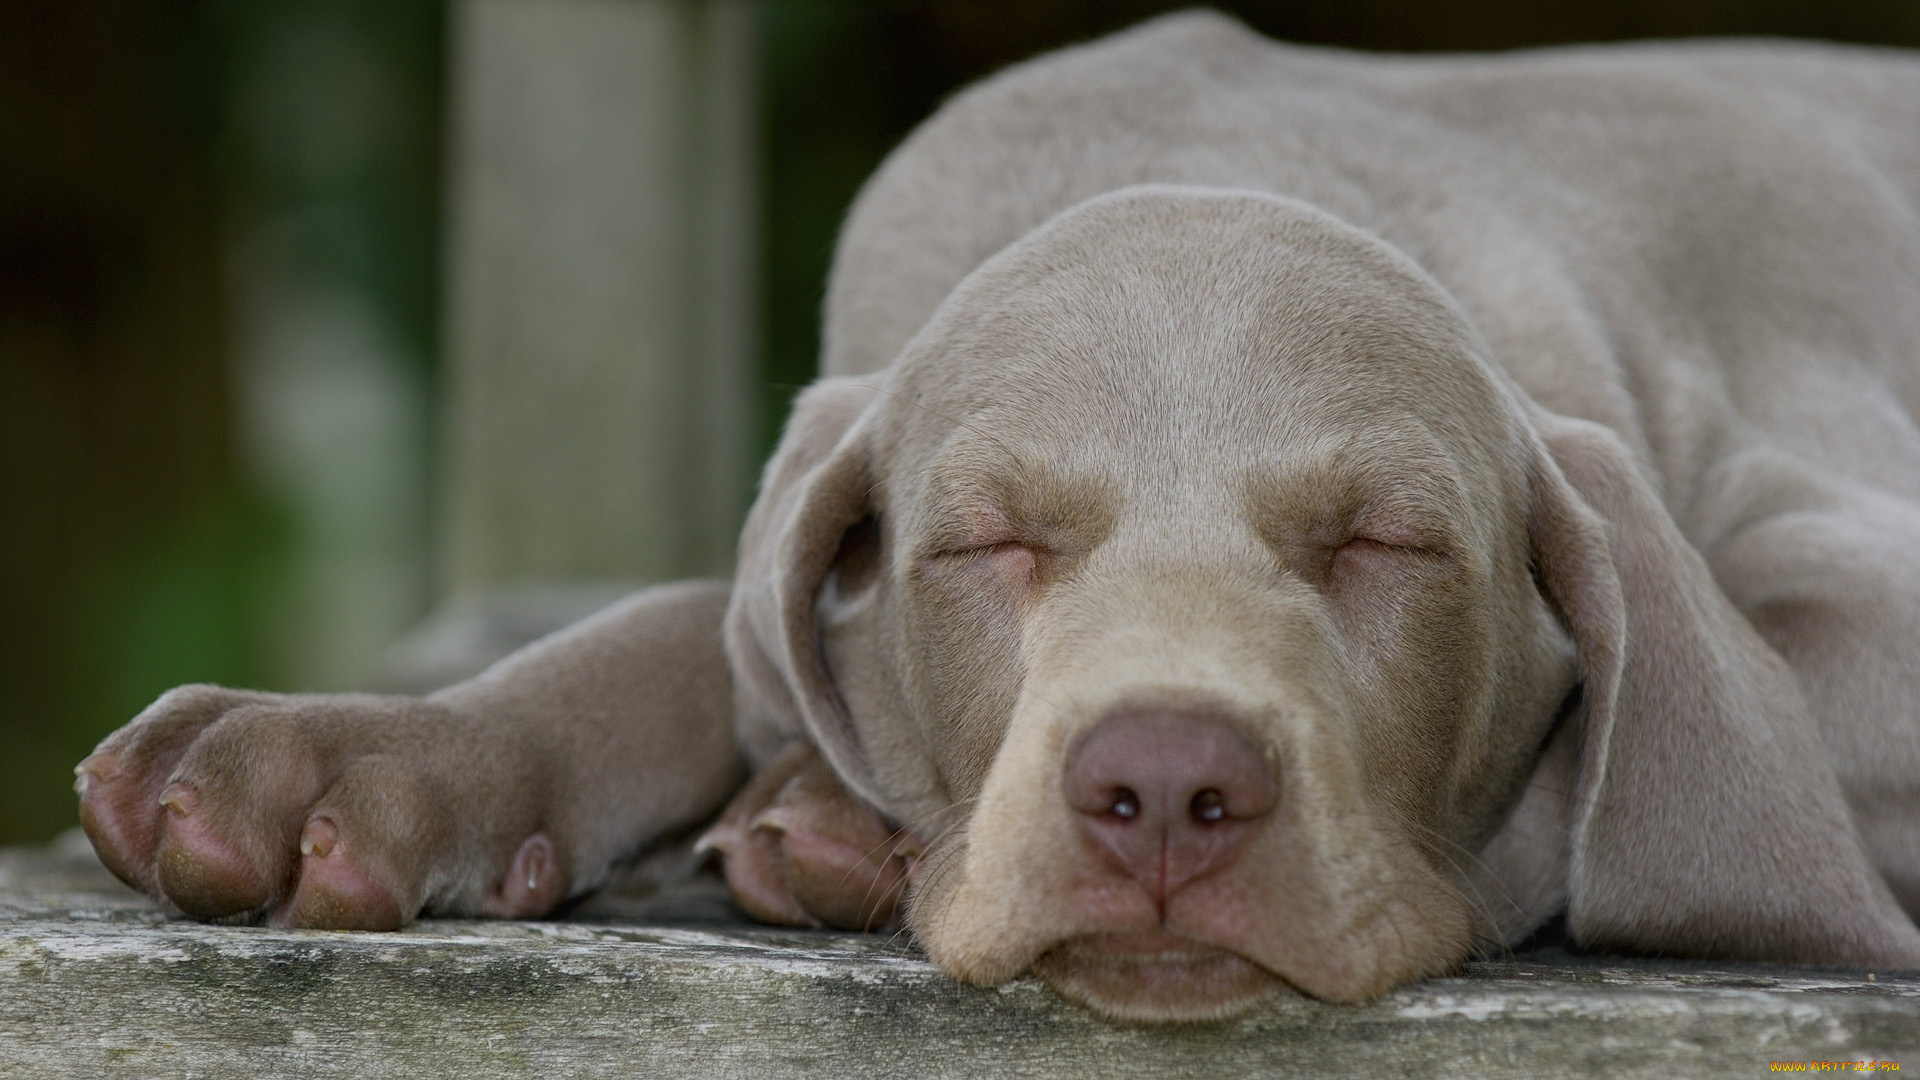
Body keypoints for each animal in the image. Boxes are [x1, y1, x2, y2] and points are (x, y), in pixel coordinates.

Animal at [67, 12, 1920, 1014]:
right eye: (987, 543)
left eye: (1383, 544)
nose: (1167, 790)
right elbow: (684, 624)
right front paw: (356, 755)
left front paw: (824, 804)